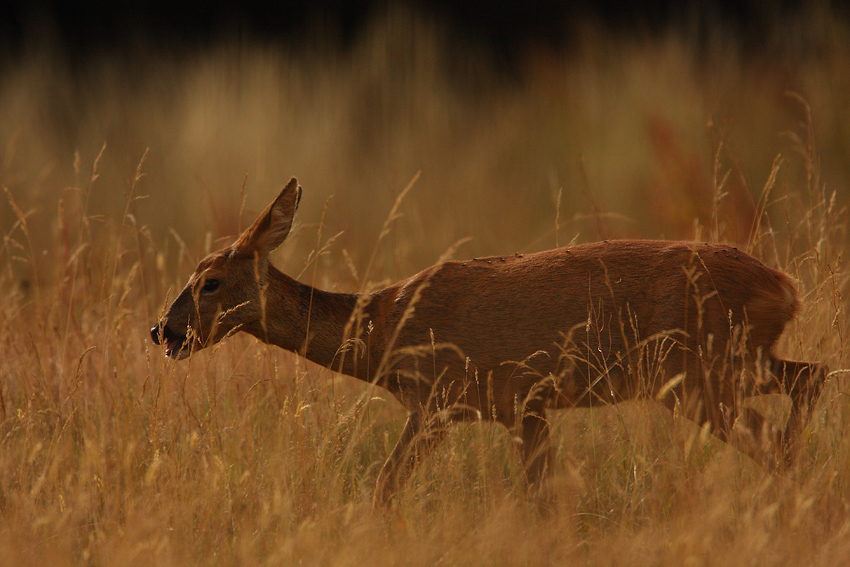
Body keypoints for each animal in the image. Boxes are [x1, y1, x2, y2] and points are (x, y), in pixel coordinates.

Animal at [151, 179, 820, 506]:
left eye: (209, 282)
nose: (162, 329)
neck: (384, 331)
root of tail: (786, 287)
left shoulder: (463, 399)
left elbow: (387, 487)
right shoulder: (515, 407)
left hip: (697, 372)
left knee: (770, 434)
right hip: (733, 362)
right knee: (811, 377)